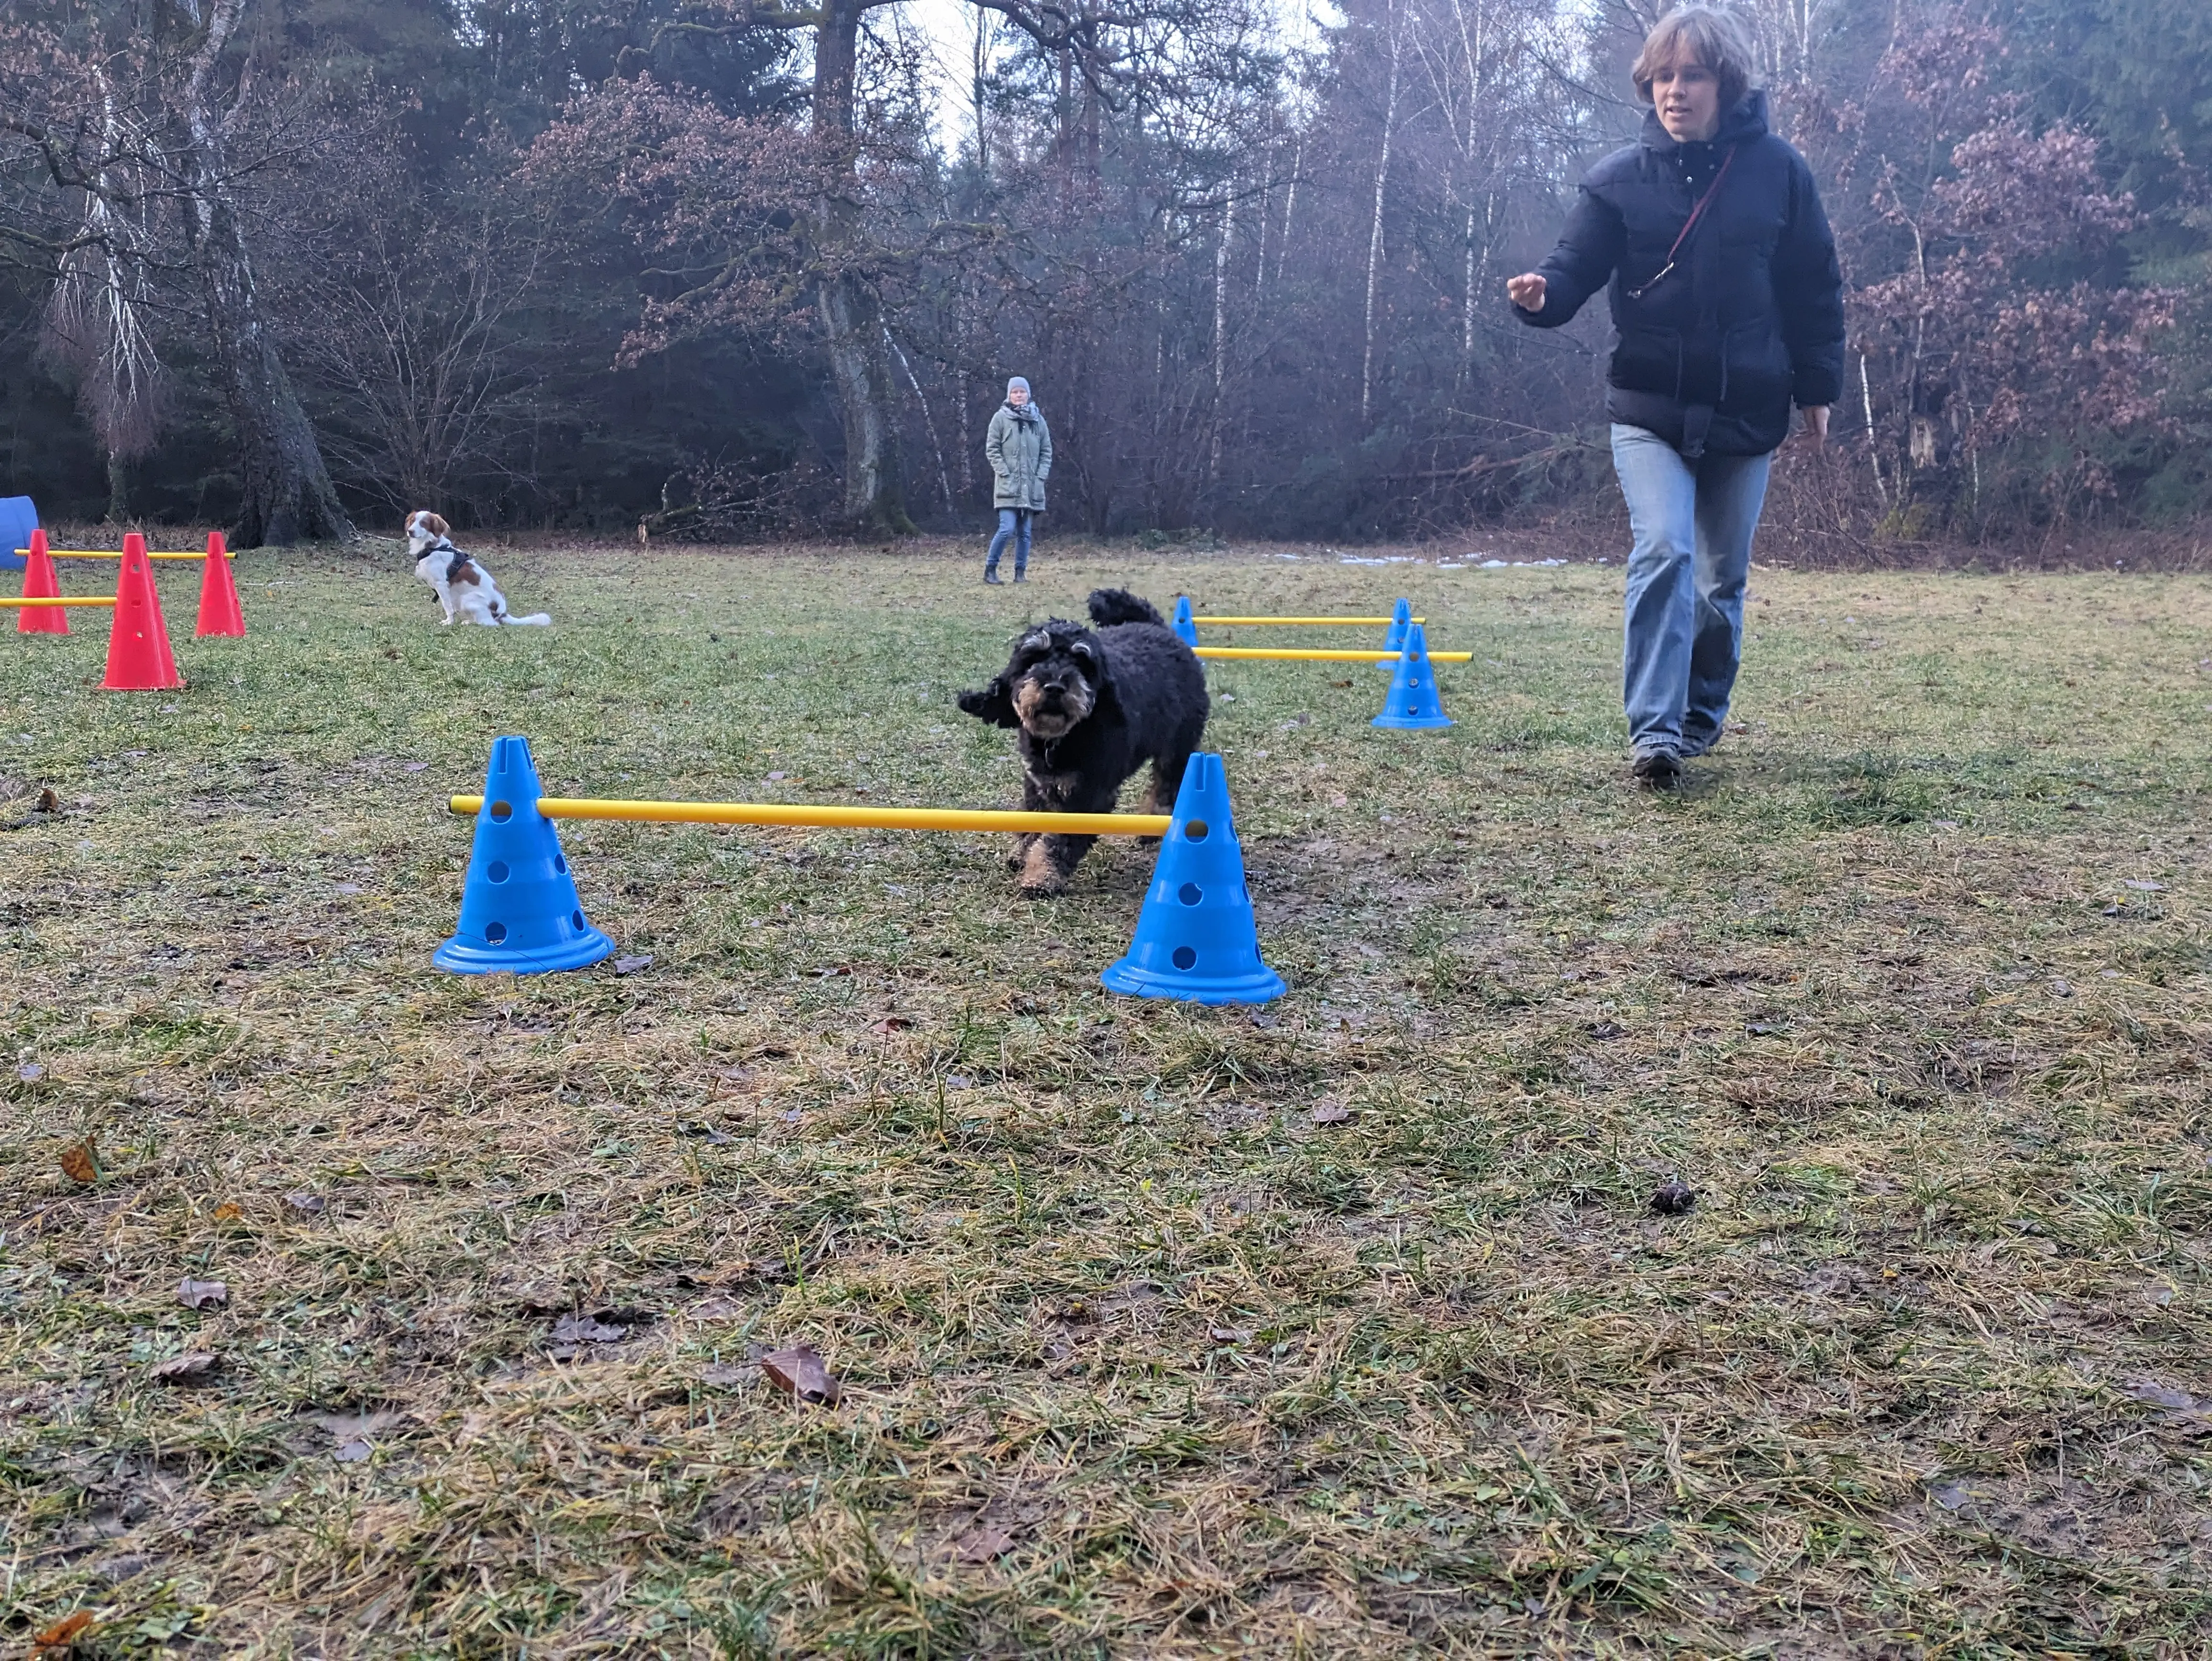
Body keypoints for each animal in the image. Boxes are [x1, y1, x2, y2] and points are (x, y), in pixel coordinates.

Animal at [405, 510, 551, 628]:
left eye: (423, 523)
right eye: (412, 521)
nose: (410, 531)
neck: (433, 547)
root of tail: (501, 614)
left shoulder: (441, 584)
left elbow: (448, 607)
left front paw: (449, 622)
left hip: (467, 600)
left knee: (490, 623)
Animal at [960, 584, 1212, 898]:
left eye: (1082, 662)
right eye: (1033, 658)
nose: (1054, 687)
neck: (1061, 739)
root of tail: (1159, 629)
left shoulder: (1090, 797)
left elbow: (1060, 841)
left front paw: (1041, 875)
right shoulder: (1038, 783)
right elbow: (1033, 820)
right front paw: (1023, 853)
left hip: (1177, 748)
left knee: (1168, 787)